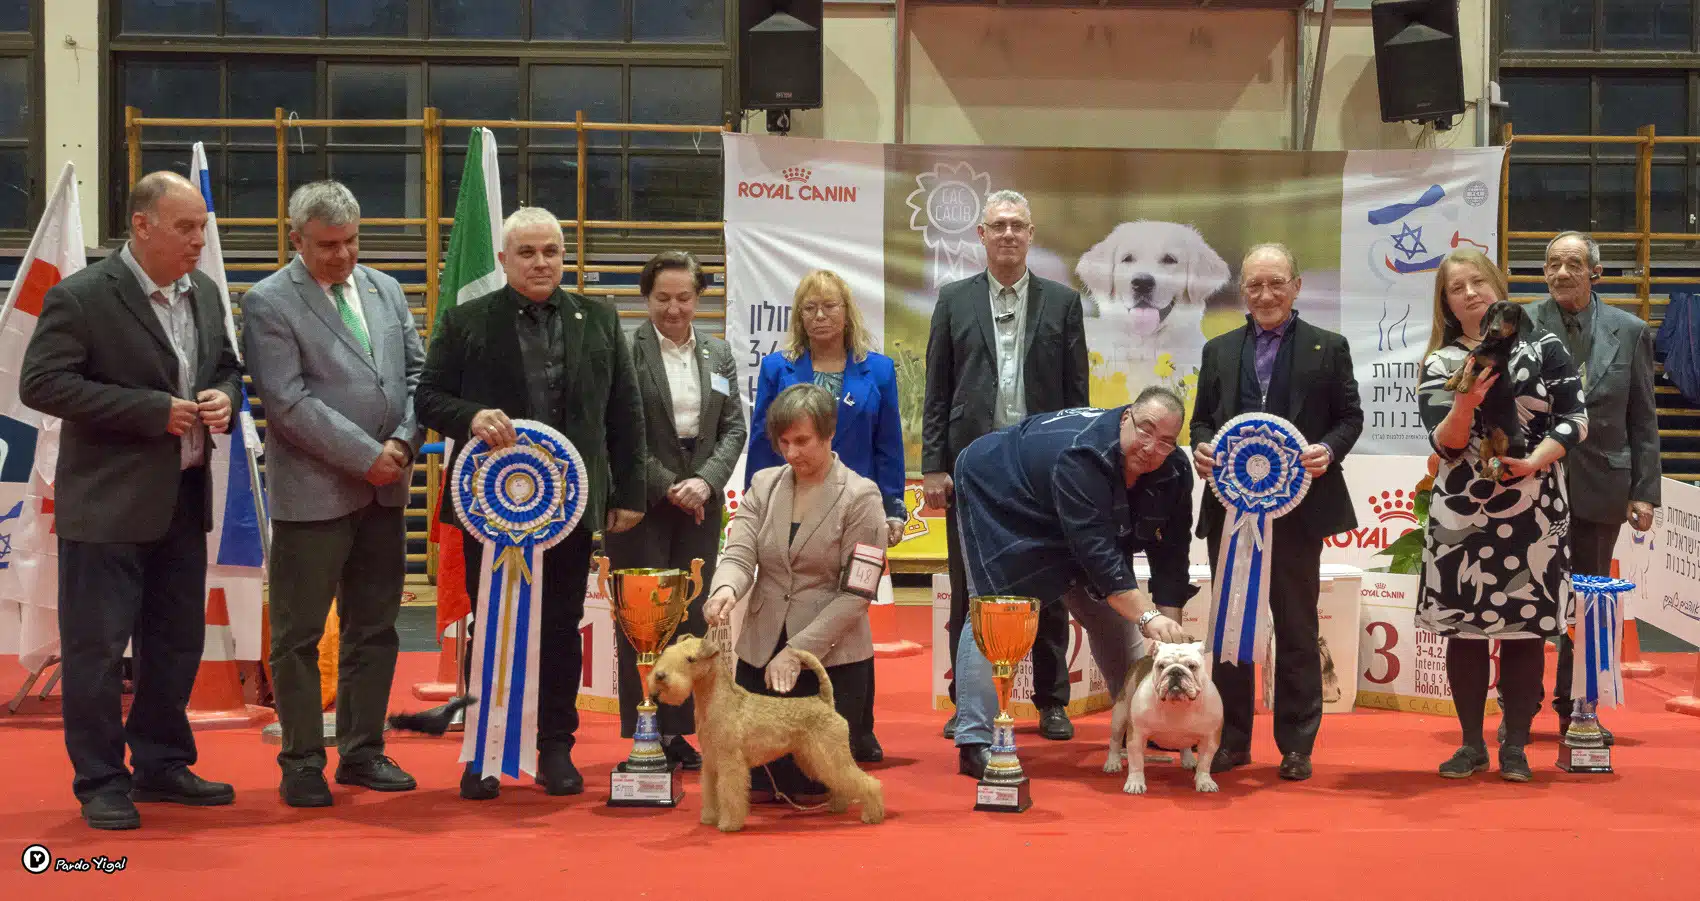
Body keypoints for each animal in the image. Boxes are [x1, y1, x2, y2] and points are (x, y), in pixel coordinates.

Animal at [649, 632, 890, 826]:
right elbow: (711, 791)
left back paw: (872, 815)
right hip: (815, 757)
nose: (659, 676)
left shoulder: (730, 762)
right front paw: (709, 818)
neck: (716, 700)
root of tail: (825, 701)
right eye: (668, 652)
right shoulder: (710, 761)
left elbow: (729, 793)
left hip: (830, 754)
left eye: (690, 659)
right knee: (842, 782)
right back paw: (837, 806)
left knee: (868, 782)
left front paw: (728, 824)